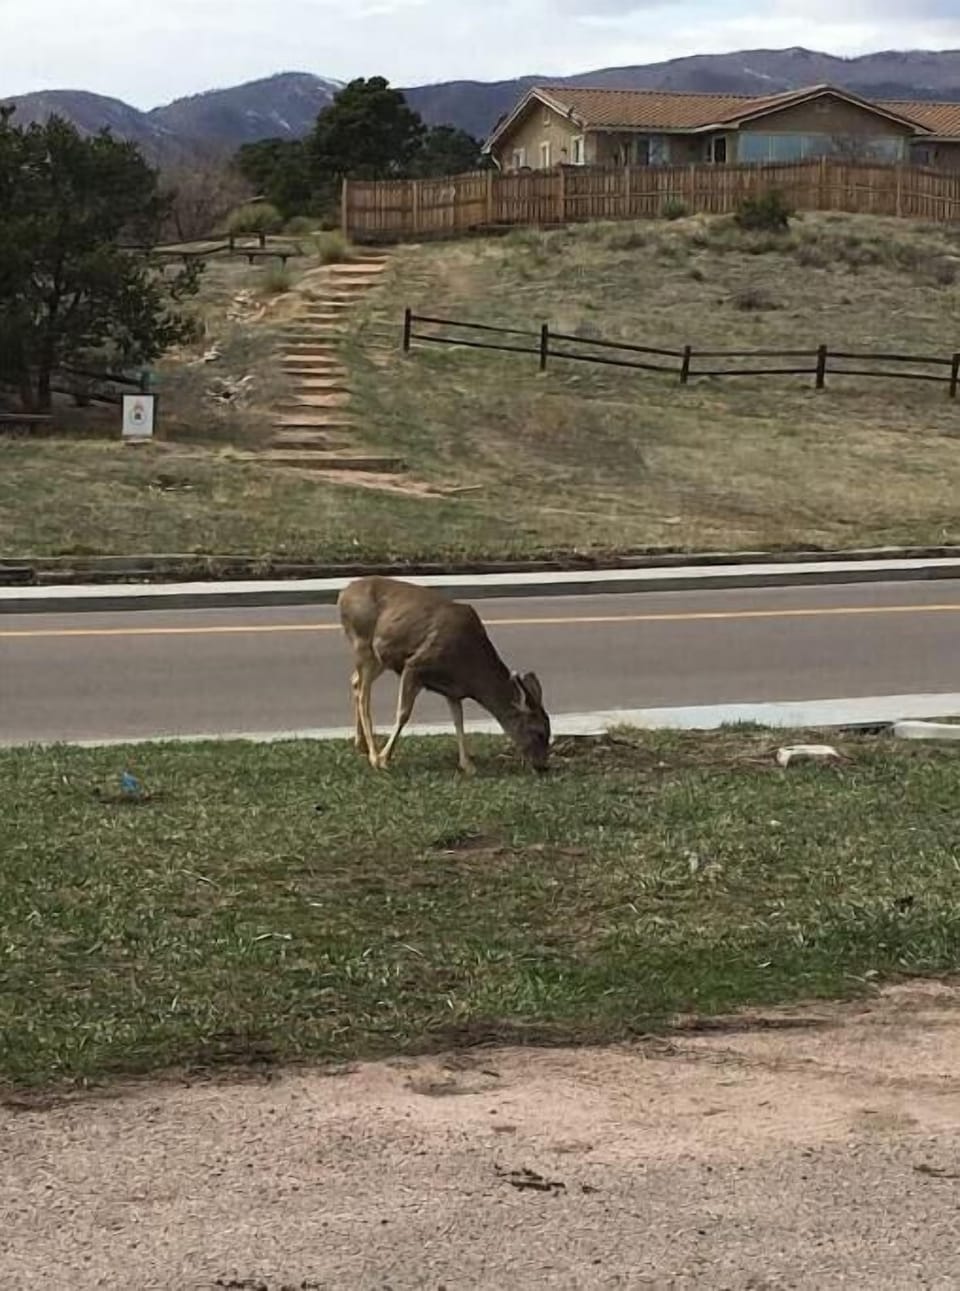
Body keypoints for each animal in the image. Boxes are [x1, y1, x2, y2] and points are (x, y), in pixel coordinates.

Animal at [337, 576, 551, 774]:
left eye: (549, 732)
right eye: (539, 732)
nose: (543, 766)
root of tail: (343, 594)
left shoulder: (453, 689)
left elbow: (458, 720)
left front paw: (467, 765)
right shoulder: (415, 664)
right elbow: (403, 714)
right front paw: (384, 758)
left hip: (380, 659)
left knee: (355, 681)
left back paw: (361, 744)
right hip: (363, 644)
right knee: (363, 695)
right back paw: (373, 755)